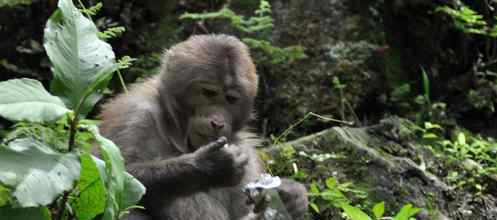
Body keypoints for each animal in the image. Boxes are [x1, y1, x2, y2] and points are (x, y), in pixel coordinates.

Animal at [98, 34, 306, 220]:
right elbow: (120, 180)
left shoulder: (244, 148)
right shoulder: (135, 116)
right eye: (208, 93)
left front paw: (290, 195)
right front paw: (210, 166)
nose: (217, 122)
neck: (175, 129)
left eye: (231, 99)